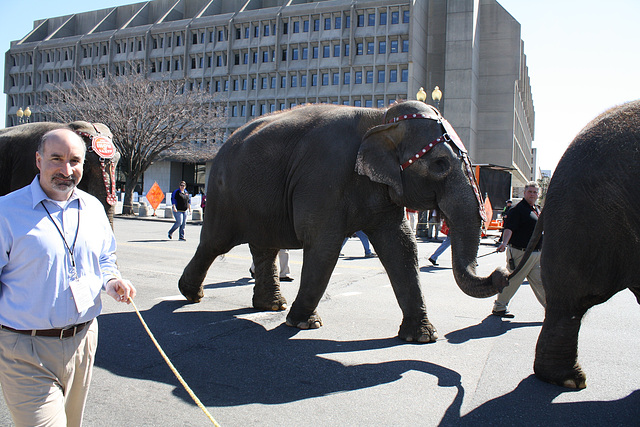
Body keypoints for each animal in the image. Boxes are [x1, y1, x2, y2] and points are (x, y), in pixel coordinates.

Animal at [180, 101, 510, 344]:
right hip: (224, 195)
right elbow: (324, 247)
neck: (380, 118)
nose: (502, 272)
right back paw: (191, 294)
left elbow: (402, 247)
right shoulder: (323, 178)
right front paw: (304, 324)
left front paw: (423, 337)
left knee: (264, 247)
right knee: (215, 243)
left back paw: (271, 305)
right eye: (440, 164)